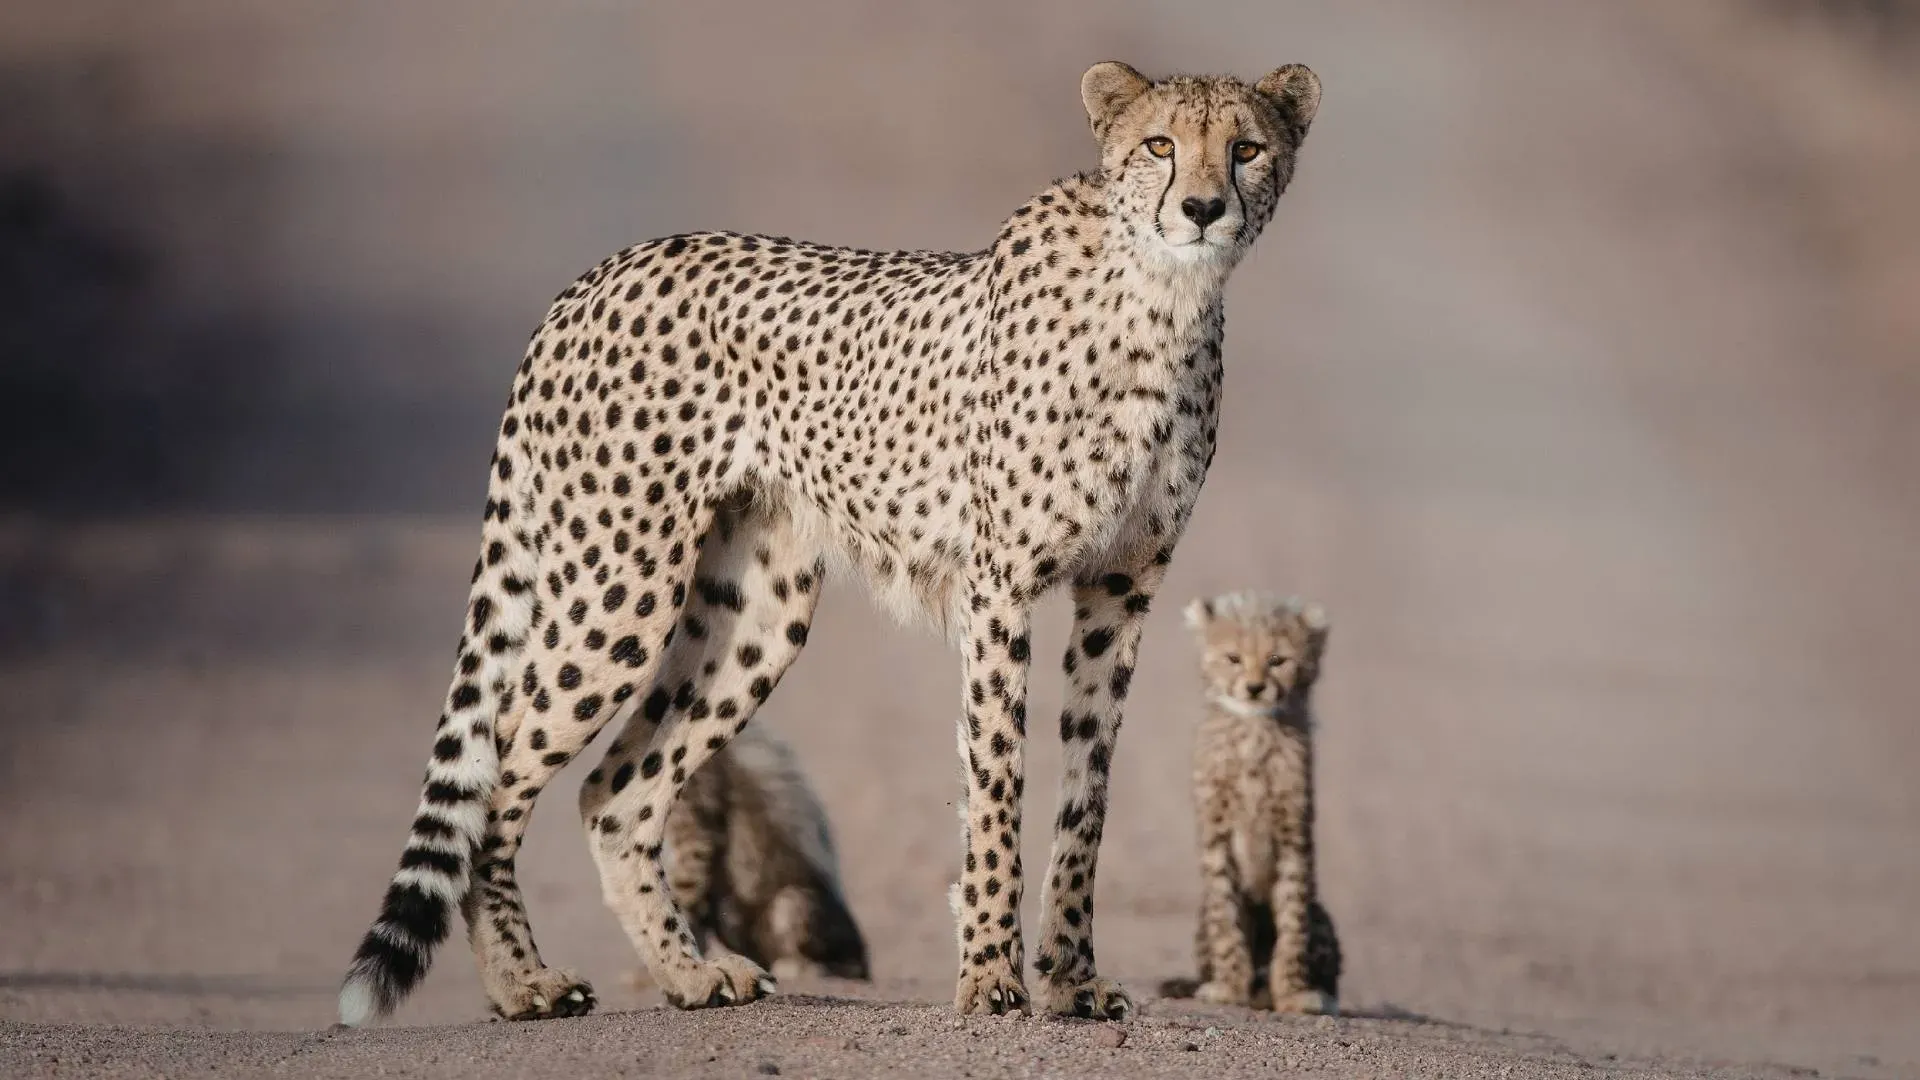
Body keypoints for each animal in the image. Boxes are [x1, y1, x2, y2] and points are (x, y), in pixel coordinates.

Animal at [337, 58, 1322, 1027]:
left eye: (1245, 148)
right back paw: (523, 985)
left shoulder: (1120, 589)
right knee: (499, 778)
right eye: (1160, 146)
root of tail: (592, 279)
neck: (1161, 298)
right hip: (618, 586)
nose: (1203, 208)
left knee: (614, 792)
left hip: (755, 617)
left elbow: (1087, 796)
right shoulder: (999, 585)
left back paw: (692, 974)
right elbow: (997, 779)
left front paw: (1071, 981)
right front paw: (990, 980)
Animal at [1158, 591, 1341, 1015]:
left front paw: (1293, 993)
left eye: (1277, 660)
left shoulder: (1294, 835)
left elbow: (1293, 921)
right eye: (1233, 658)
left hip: (1323, 918)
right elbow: (1225, 920)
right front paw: (1228, 988)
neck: (1253, 731)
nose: (1256, 688)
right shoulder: (1216, 836)